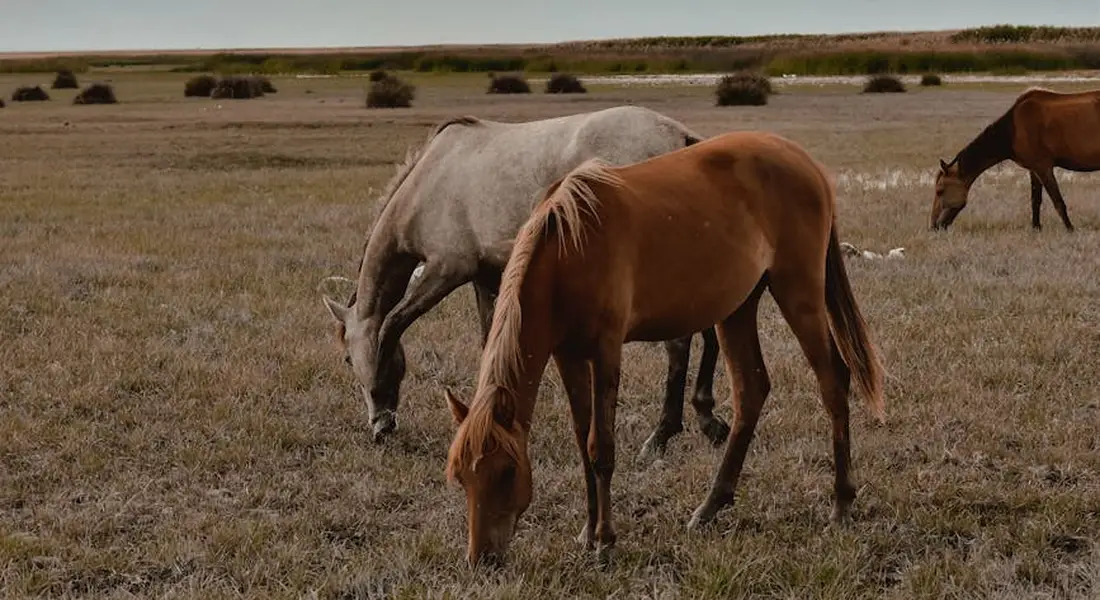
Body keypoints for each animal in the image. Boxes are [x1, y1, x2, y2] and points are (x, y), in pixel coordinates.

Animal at [321, 106, 730, 457]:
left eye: (347, 358)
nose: (376, 425)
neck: (430, 180)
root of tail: (679, 136)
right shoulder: (486, 277)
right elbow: (489, 342)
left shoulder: (446, 270)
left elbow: (391, 325)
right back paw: (708, 420)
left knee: (678, 344)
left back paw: (661, 435)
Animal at [444, 129, 887, 566]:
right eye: (460, 476)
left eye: (506, 471)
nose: (481, 558)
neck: (569, 249)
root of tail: (803, 160)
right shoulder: (567, 355)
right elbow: (582, 439)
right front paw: (587, 532)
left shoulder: (606, 350)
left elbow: (601, 446)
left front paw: (606, 540)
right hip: (738, 308)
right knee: (752, 391)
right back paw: (711, 506)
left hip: (799, 292)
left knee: (833, 382)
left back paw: (841, 504)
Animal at [932, 87, 1100, 231]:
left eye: (940, 191)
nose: (934, 226)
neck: (1012, 130)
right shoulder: (1034, 169)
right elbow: (1035, 200)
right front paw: (1036, 228)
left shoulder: (1043, 167)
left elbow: (1057, 201)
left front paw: (1070, 229)